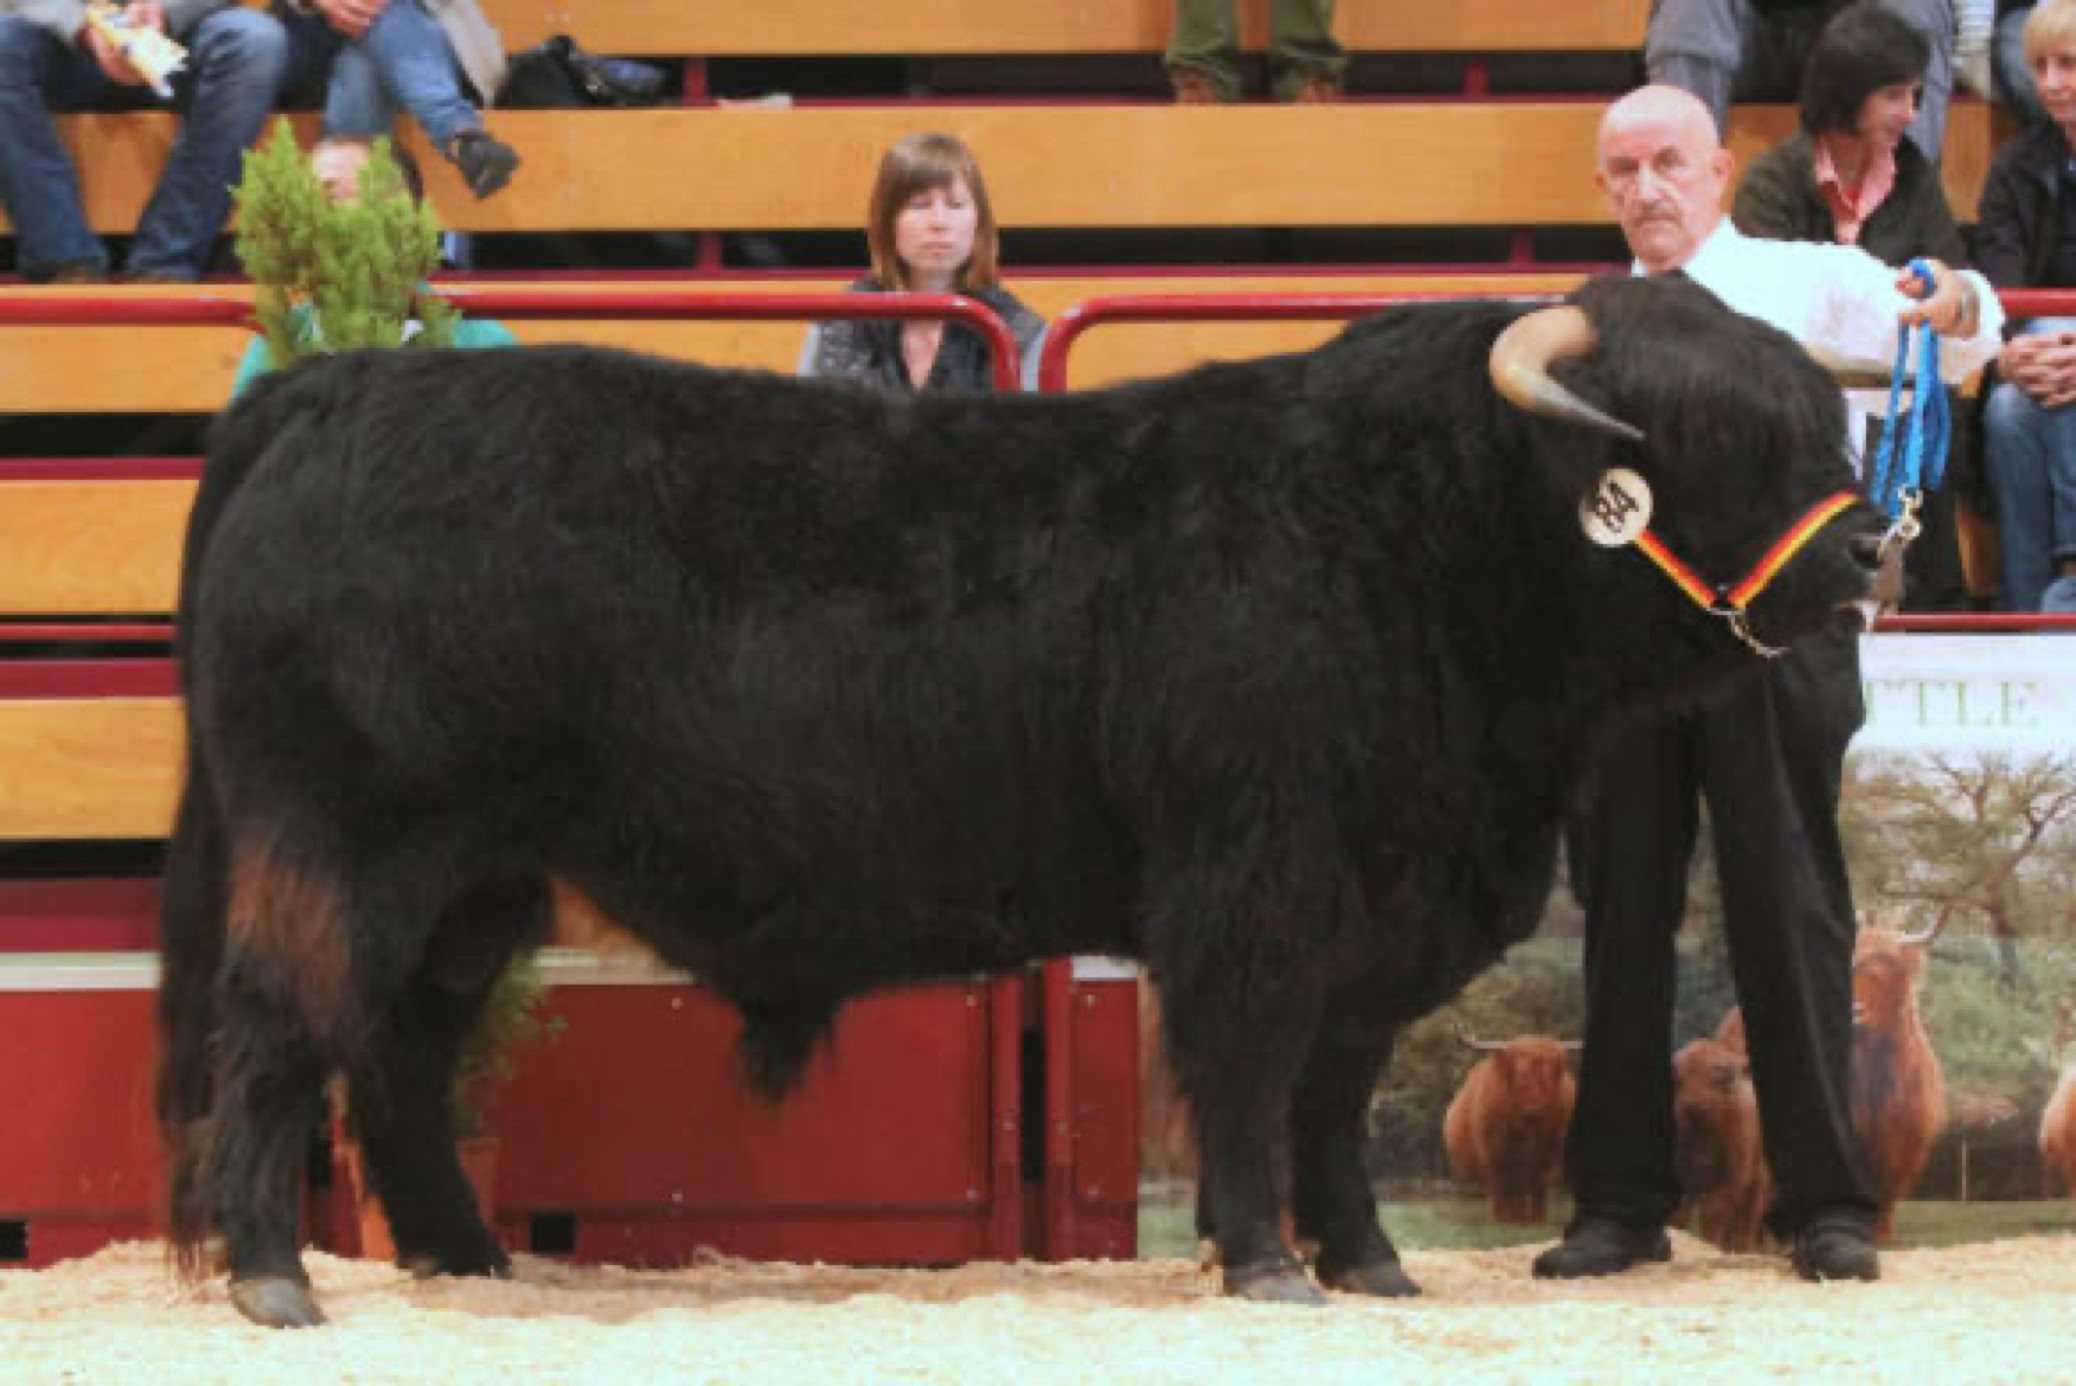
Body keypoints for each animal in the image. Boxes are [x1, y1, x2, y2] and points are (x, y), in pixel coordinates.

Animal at [1442, 1030, 1578, 1223]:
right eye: (1520, 1075)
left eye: (1550, 1074)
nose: (1533, 1109)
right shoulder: (1497, 1154)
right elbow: (1508, 1187)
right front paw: (1509, 1219)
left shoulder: (1549, 1154)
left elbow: (1538, 1187)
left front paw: (1537, 1220)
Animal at [1671, 1034, 1770, 1252]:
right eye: (1680, 1078)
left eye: (1719, 1075)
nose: (1694, 1104)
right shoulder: (1683, 1176)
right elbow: (1680, 1214)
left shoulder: (1731, 1178)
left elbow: (1713, 1217)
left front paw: (1711, 1246)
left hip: (1758, 1179)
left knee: (1747, 1221)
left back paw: (1742, 1249)